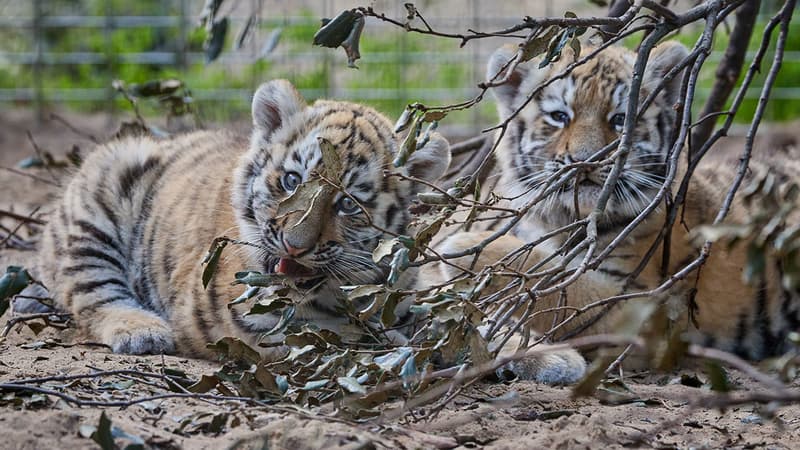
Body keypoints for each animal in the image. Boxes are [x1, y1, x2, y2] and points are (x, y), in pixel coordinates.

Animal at [18, 79, 453, 358]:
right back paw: (142, 331)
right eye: (292, 180)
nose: (295, 245)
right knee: (91, 295)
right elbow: (330, 334)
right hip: (103, 193)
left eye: (347, 205)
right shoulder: (249, 321)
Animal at [426, 41, 800, 374]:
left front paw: (465, 248)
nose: (587, 161)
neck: (565, 219)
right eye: (559, 116)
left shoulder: (641, 303)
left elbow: (558, 283)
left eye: (621, 119)